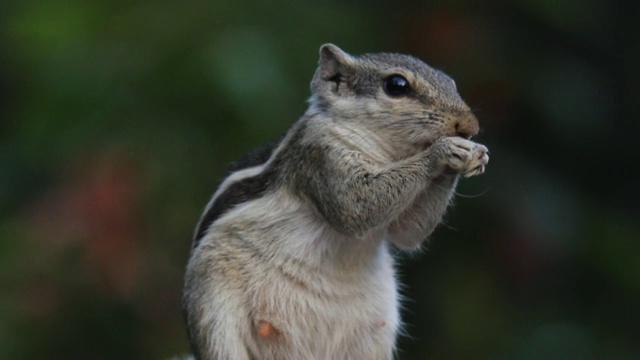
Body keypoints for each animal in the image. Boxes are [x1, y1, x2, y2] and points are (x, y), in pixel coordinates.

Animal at [180, 43, 490, 358]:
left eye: (450, 81)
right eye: (396, 85)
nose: (470, 126)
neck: (388, 154)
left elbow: (407, 233)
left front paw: (474, 154)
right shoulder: (321, 154)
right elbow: (356, 206)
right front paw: (444, 151)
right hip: (214, 313)